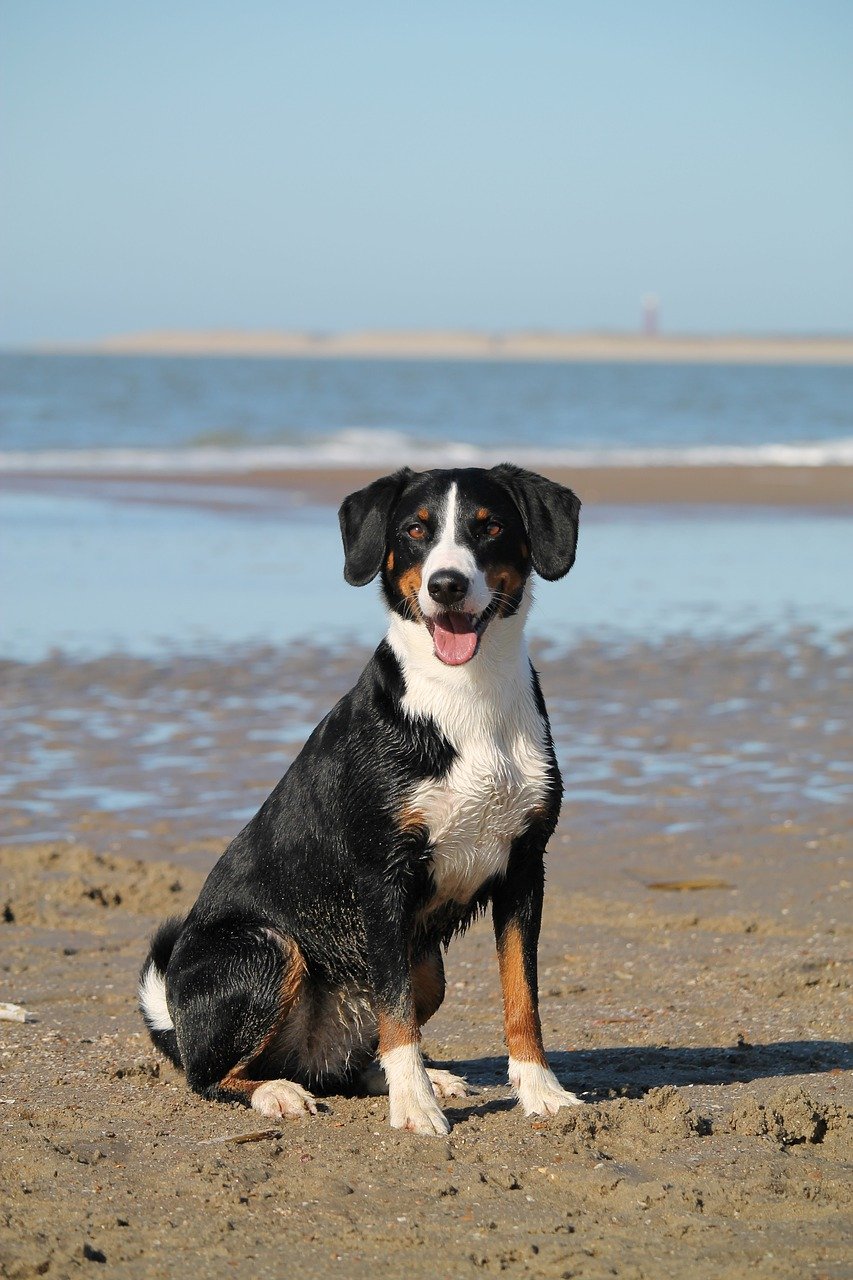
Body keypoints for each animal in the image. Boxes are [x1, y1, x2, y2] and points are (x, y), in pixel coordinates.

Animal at [137, 465, 578, 1136]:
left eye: (490, 526)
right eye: (416, 531)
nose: (447, 584)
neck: (466, 697)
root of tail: (178, 1021)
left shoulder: (525, 867)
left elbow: (520, 997)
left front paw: (539, 1090)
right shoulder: (382, 880)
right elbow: (396, 1017)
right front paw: (415, 1108)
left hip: (428, 968)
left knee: (351, 1061)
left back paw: (418, 1078)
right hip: (269, 948)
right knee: (211, 1075)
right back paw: (281, 1092)